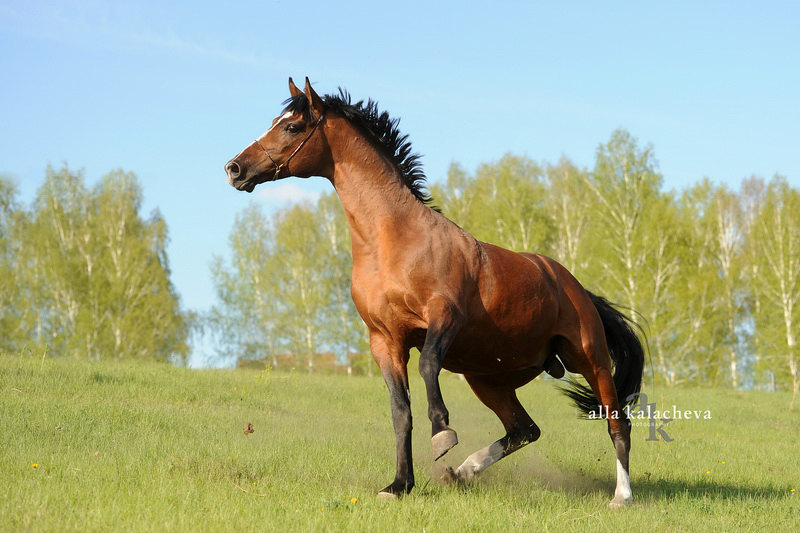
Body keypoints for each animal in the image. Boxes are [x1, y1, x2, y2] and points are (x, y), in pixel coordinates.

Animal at [223, 77, 644, 504]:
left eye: (292, 127)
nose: (235, 168)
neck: (393, 242)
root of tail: (578, 289)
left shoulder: (443, 316)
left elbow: (427, 365)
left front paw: (442, 434)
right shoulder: (384, 341)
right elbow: (400, 412)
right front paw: (399, 485)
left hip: (589, 359)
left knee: (617, 423)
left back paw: (621, 496)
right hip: (489, 379)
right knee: (524, 430)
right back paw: (462, 472)